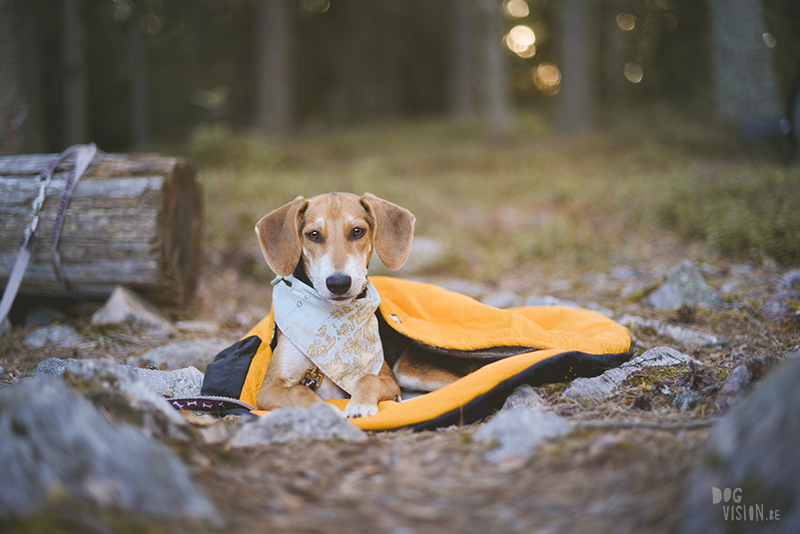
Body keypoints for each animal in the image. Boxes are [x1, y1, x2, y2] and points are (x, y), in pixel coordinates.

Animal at [255, 193, 418, 418]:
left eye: (357, 231)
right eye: (313, 234)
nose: (338, 283)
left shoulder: (388, 379)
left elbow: (369, 378)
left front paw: (360, 405)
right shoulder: (268, 388)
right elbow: (299, 391)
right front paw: (325, 410)